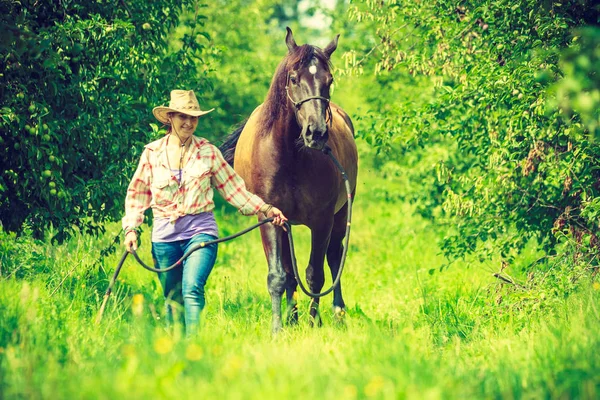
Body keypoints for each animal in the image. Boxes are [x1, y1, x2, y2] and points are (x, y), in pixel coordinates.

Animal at [221, 28, 358, 334]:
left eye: (329, 81)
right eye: (294, 79)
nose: (316, 133)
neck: (288, 156)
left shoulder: (322, 221)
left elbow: (315, 275)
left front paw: (313, 323)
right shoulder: (270, 218)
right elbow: (278, 276)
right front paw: (278, 329)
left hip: (341, 214)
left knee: (334, 257)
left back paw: (337, 313)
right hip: (286, 225)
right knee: (290, 272)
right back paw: (292, 318)